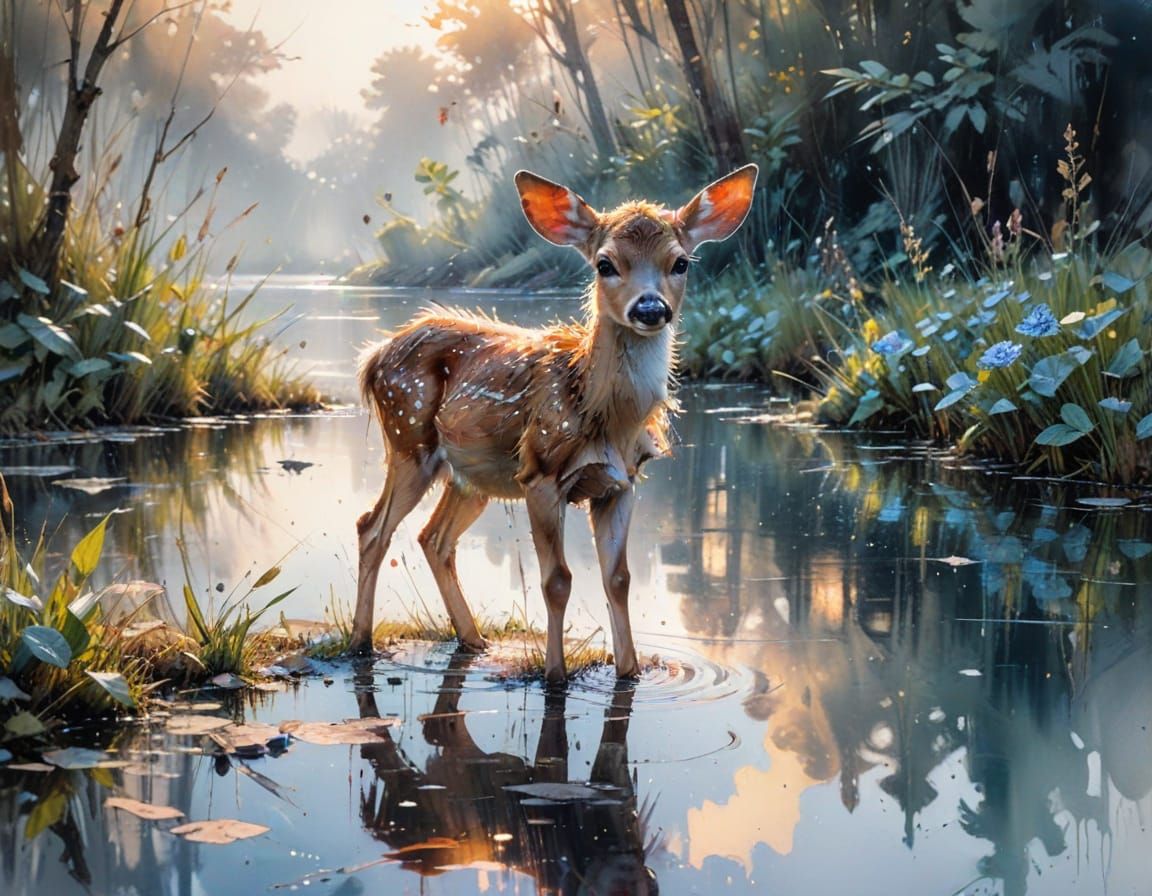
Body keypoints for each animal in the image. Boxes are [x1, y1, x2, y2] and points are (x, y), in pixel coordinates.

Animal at [351, 164, 758, 683]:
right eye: (605, 264)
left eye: (681, 262)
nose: (650, 308)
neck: (603, 415)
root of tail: (374, 355)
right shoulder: (541, 474)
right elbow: (557, 580)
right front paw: (555, 675)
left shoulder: (621, 483)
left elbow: (618, 578)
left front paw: (630, 671)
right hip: (409, 439)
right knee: (372, 528)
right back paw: (361, 644)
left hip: (472, 476)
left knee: (434, 539)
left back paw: (474, 640)